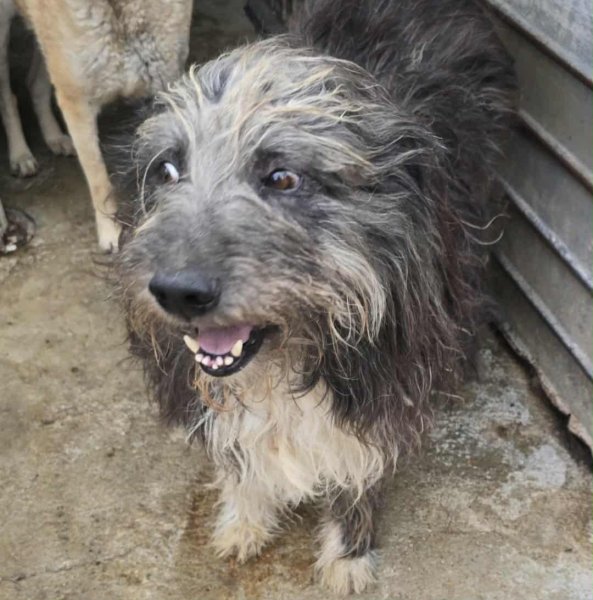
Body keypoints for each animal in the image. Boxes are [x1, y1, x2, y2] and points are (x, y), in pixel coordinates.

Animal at [10, 0, 193, 250]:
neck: (119, 10)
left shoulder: (163, 83)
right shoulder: (78, 103)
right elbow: (98, 179)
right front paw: (111, 231)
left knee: (35, 82)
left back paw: (54, 137)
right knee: (8, 95)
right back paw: (20, 154)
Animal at [105, 0, 516, 593]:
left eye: (281, 178)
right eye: (166, 169)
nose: (177, 292)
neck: (287, 360)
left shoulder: (386, 380)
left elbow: (358, 469)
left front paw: (348, 554)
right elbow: (239, 455)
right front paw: (245, 520)